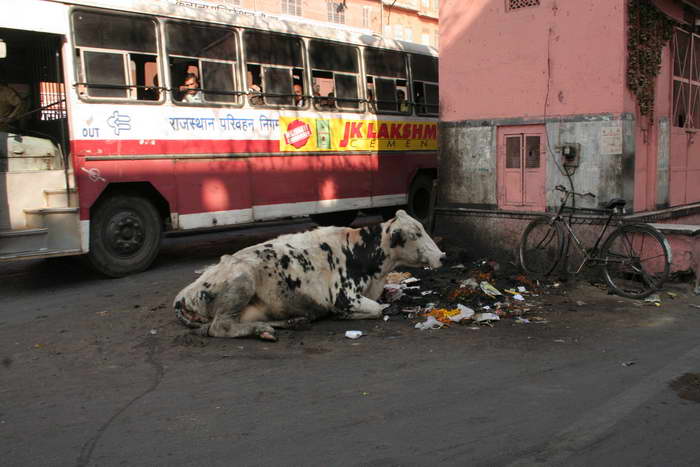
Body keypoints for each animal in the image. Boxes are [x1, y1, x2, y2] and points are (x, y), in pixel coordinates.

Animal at [175, 210, 446, 342]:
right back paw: (262, 330)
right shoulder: (344, 296)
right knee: (220, 326)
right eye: (416, 233)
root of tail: (183, 295)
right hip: (242, 280)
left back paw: (292, 322)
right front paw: (346, 316)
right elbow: (378, 309)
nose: (443, 257)